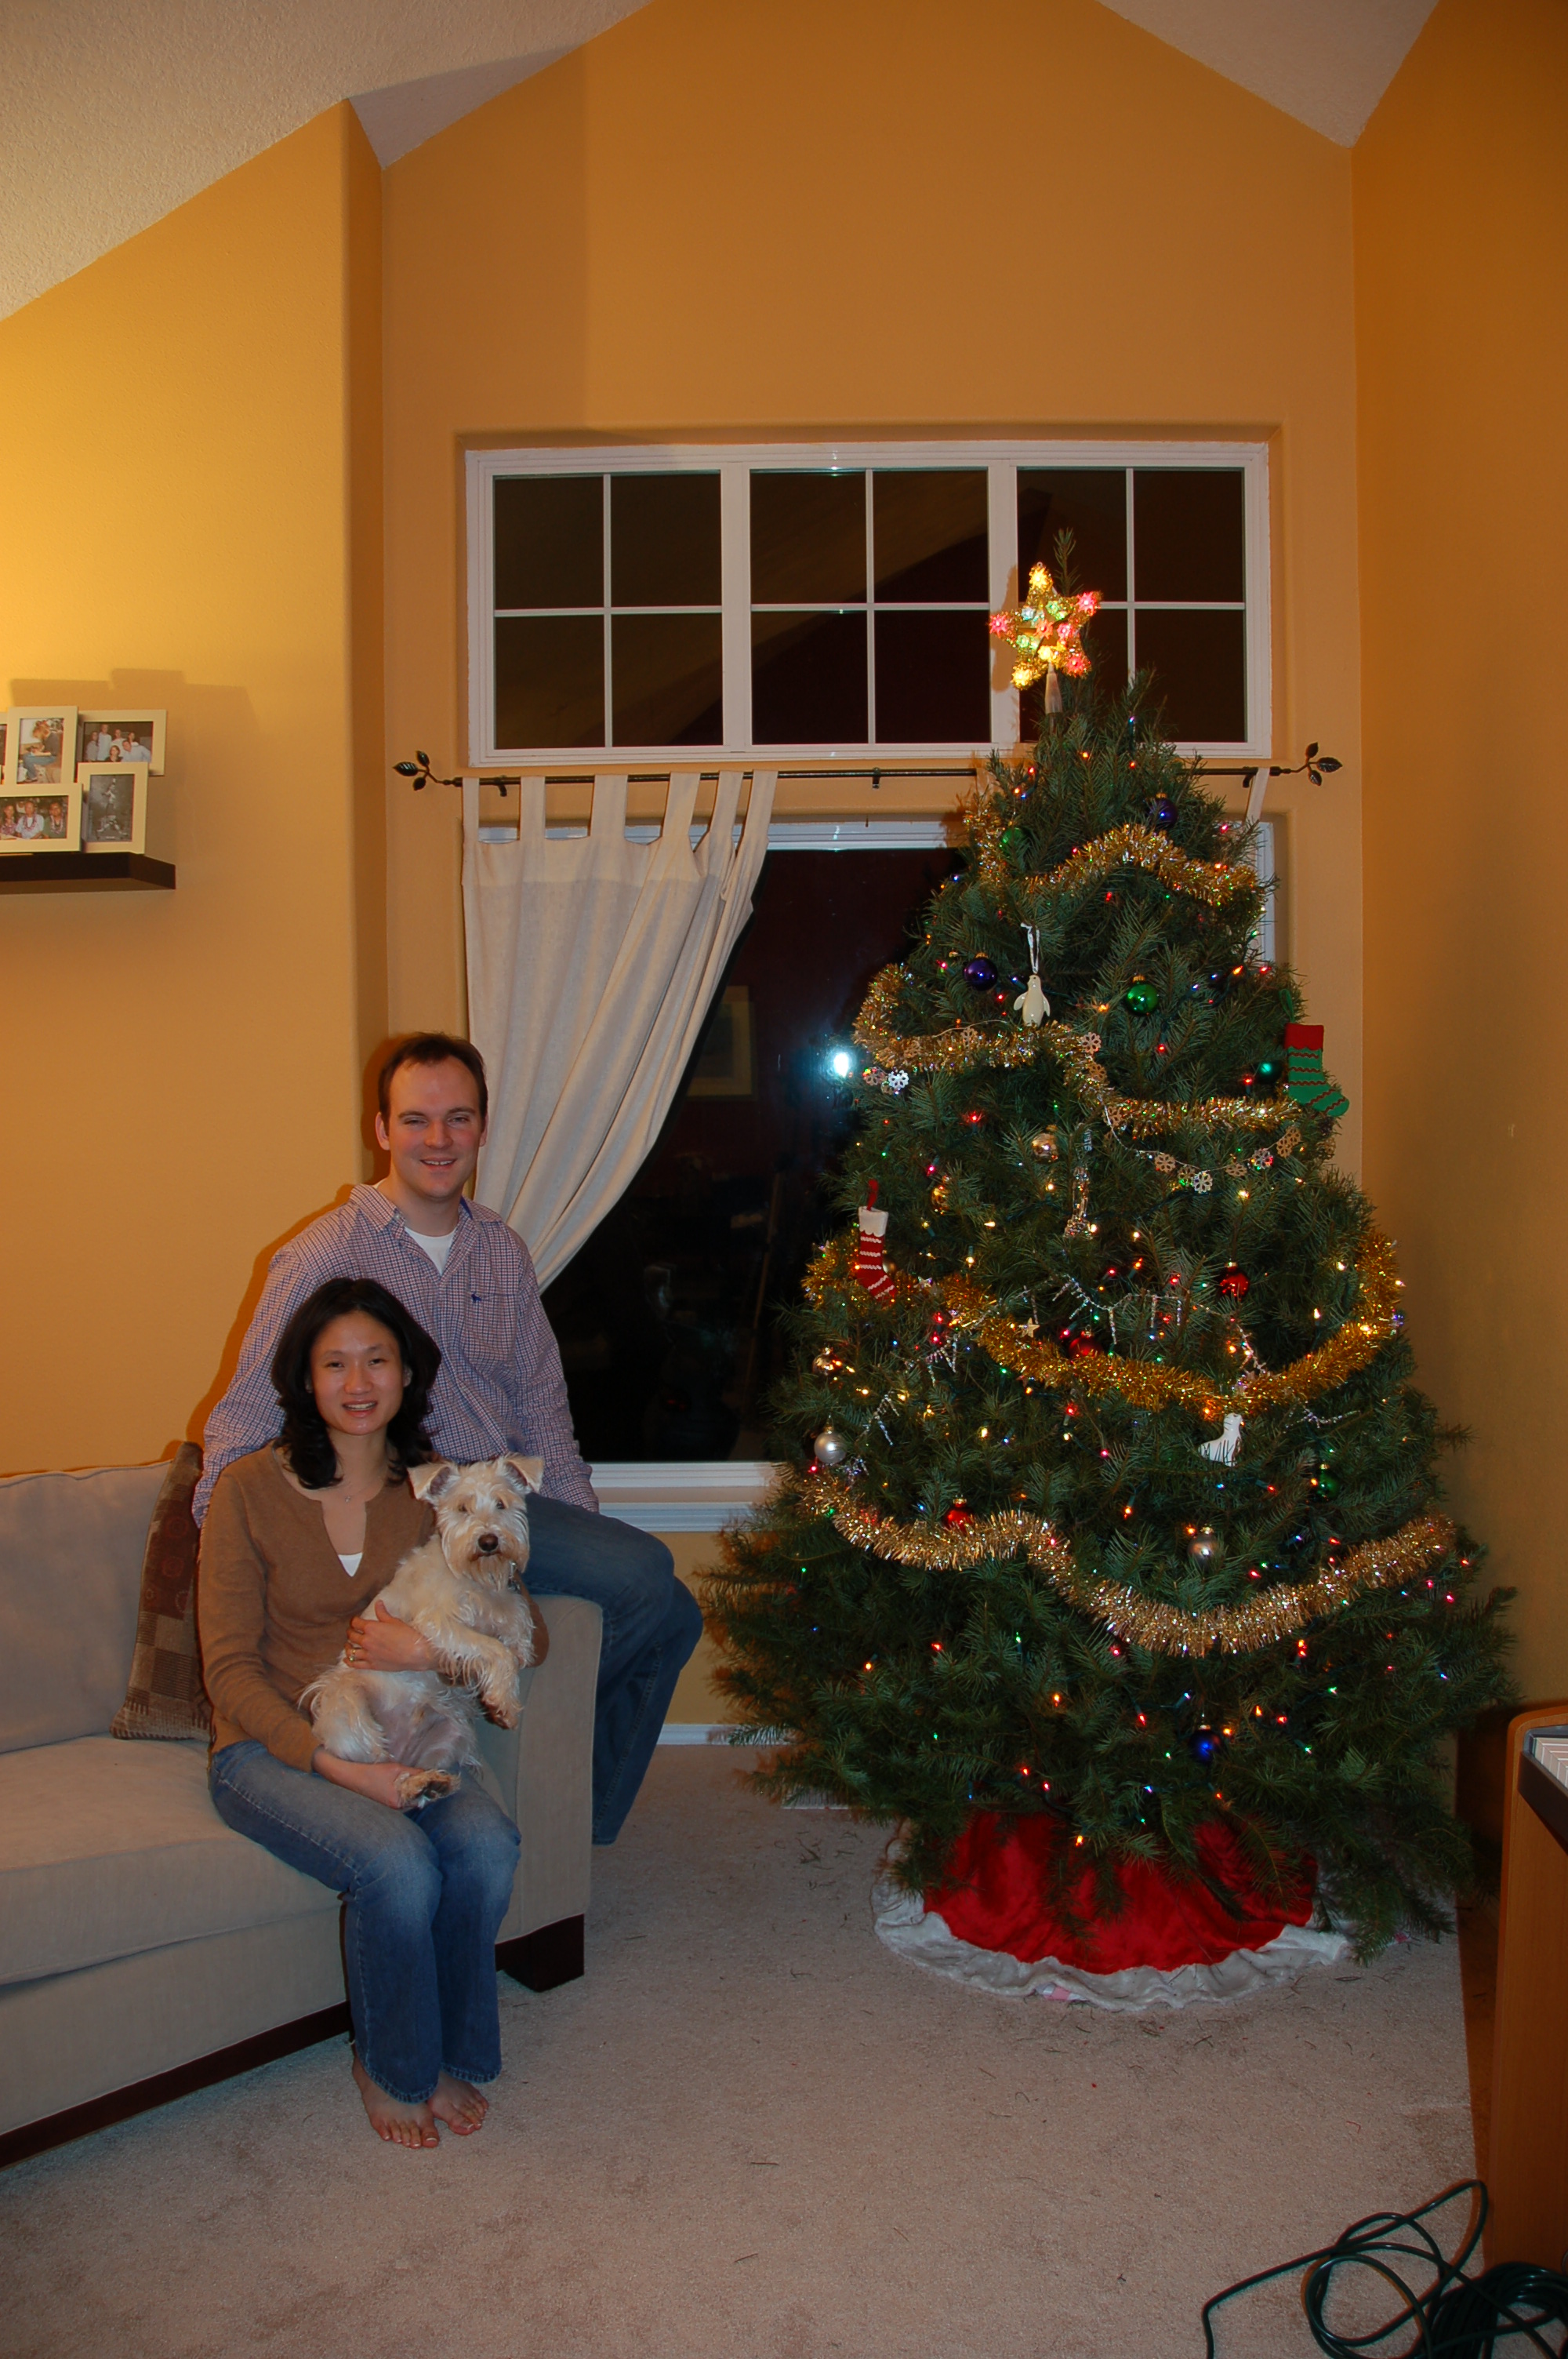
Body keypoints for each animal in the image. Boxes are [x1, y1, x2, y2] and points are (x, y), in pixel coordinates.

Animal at [302, 1455, 546, 1809]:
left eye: (501, 1503)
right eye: (462, 1508)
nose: (488, 1542)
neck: (475, 1576)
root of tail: (401, 1748)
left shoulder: (500, 1600)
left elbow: (517, 1620)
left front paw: (520, 1652)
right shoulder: (439, 1624)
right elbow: (494, 1650)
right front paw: (504, 1703)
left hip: (451, 1731)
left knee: (413, 1768)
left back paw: (431, 1784)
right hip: (347, 1705)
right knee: (375, 1763)